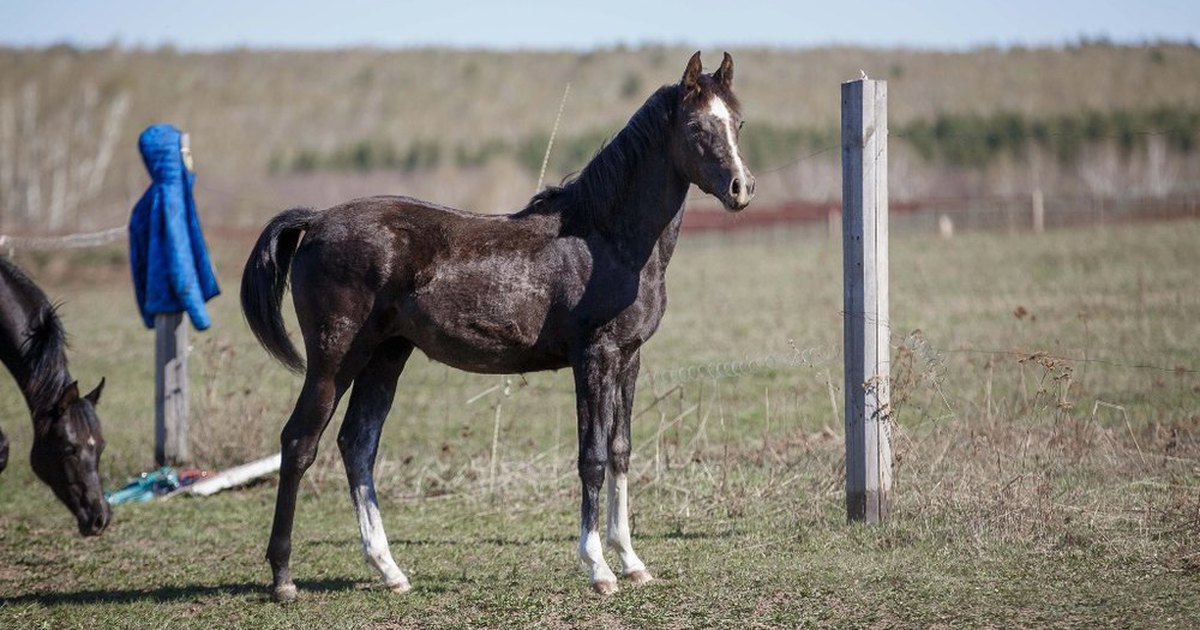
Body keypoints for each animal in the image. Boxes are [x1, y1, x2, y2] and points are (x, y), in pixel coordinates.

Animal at [238, 51, 753, 597]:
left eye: (738, 123)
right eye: (697, 126)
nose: (742, 188)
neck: (606, 240)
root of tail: (315, 221)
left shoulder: (628, 358)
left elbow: (620, 450)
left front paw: (632, 562)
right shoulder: (592, 358)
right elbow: (591, 457)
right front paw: (599, 568)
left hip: (386, 355)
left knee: (357, 444)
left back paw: (390, 570)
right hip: (334, 360)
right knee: (299, 444)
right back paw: (283, 579)